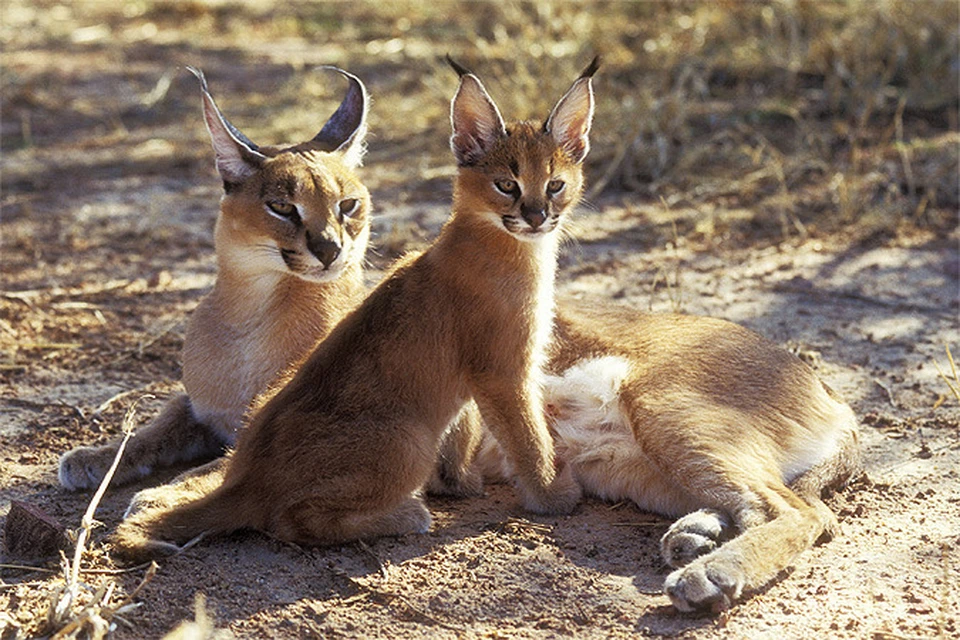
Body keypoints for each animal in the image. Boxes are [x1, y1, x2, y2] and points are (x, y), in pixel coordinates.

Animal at [57, 67, 372, 490]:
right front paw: (97, 456)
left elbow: (234, 460)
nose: (329, 250)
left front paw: (164, 493)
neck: (250, 313)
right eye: (282, 207)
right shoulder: (199, 409)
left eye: (348, 205)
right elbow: (156, 426)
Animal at [109, 58, 596, 560]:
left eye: (556, 185)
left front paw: (461, 481)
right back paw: (407, 514)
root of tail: (245, 480)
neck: (510, 246)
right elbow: (528, 435)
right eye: (506, 185)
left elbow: (467, 428)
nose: (537, 216)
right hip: (408, 438)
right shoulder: (503, 371)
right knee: (290, 519)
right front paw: (552, 496)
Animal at [480, 288, 864, 608]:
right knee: (777, 504)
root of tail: (834, 394)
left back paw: (710, 572)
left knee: (796, 511)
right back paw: (696, 535)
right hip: (630, 471)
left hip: (665, 413)